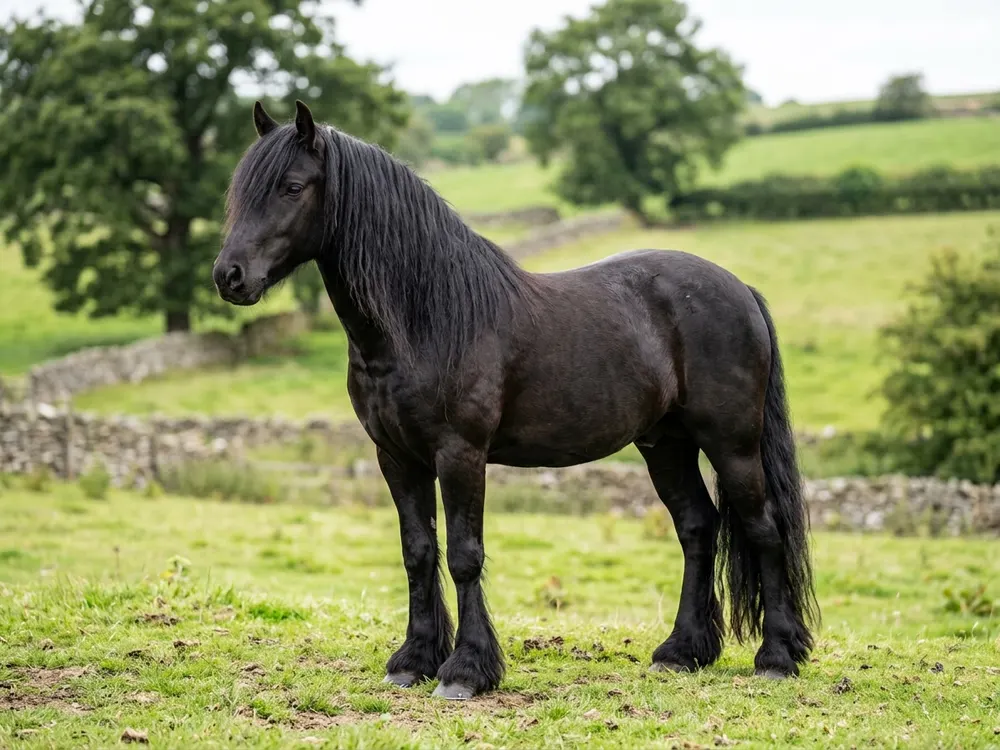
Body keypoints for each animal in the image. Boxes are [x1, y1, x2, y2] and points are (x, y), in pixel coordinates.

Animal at [213, 100, 820, 700]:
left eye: (292, 187)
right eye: (238, 189)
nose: (229, 276)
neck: (425, 319)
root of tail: (740, 289)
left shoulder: (460, 454)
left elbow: (464, 554)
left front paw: (465, 670)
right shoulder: (396, 457)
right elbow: (418, 552)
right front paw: (413, 661)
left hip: (731, 443)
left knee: (764, 528)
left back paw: (776, 657)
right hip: (665, 444)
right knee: (698, 526)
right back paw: (681, 653)